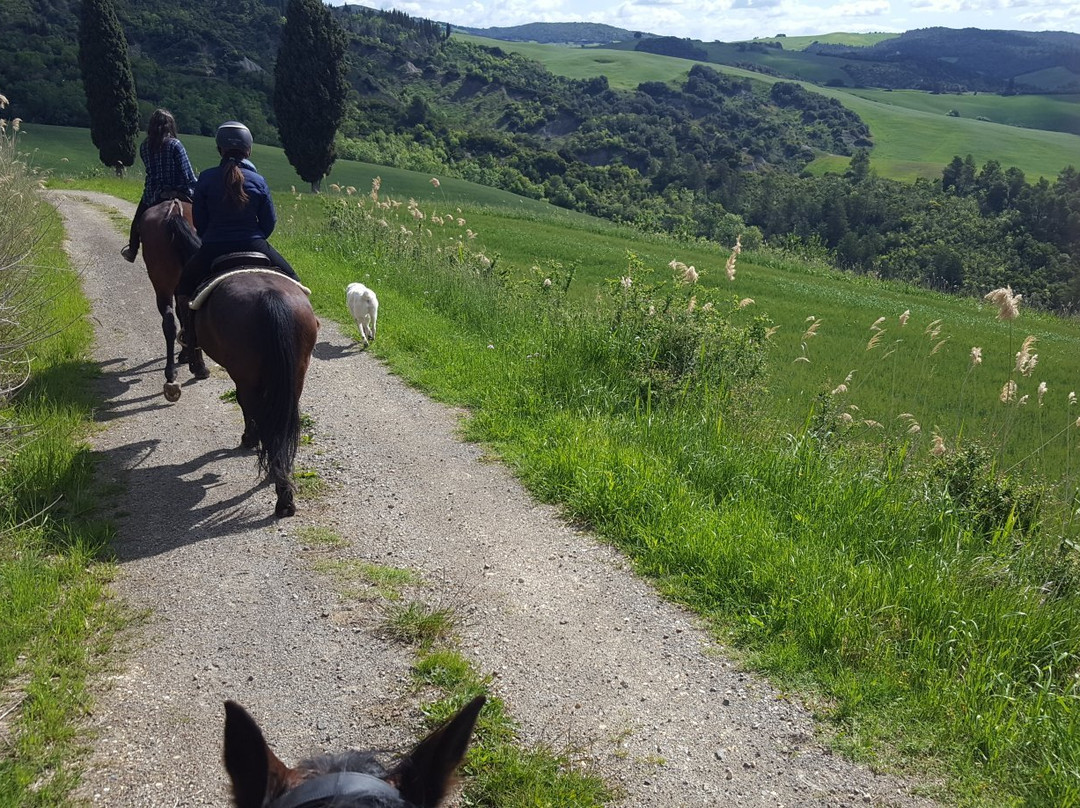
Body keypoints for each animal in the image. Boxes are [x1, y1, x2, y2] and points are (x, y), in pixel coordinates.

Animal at [139, 198, 200, 401]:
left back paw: (172, 375)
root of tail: (174, 211)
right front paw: (186, 355)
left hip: (163, 286)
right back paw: (198, 369)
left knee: (169, 322)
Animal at [164, 218, 315, 518]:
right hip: (295, 376)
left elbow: (245, 407)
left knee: (255, 409)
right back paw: (282, 484)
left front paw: (249, 439)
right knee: (282, 421)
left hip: (247, 375)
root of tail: (270, 297)